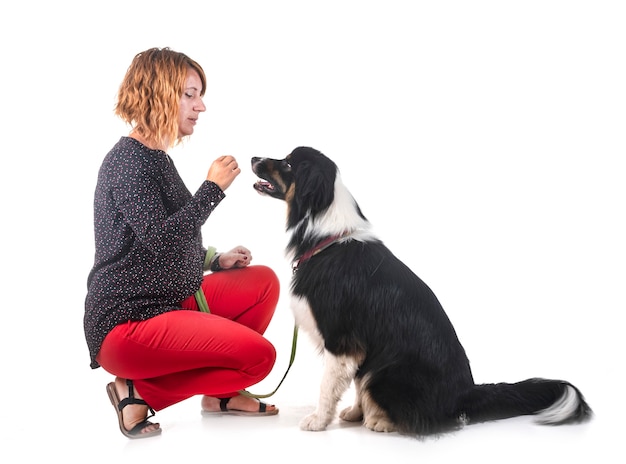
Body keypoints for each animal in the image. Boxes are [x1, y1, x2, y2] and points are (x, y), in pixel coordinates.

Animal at [250, 146, 588, 436]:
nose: (253, 157)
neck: (325, 236)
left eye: (288, 163)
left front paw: (319, 420)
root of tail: (465, 395)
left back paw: (383, 421)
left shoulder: (342, 338)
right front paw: (356, 412)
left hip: (390, 372)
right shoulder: (363, 344)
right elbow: (357, 381)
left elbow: (328, 385)